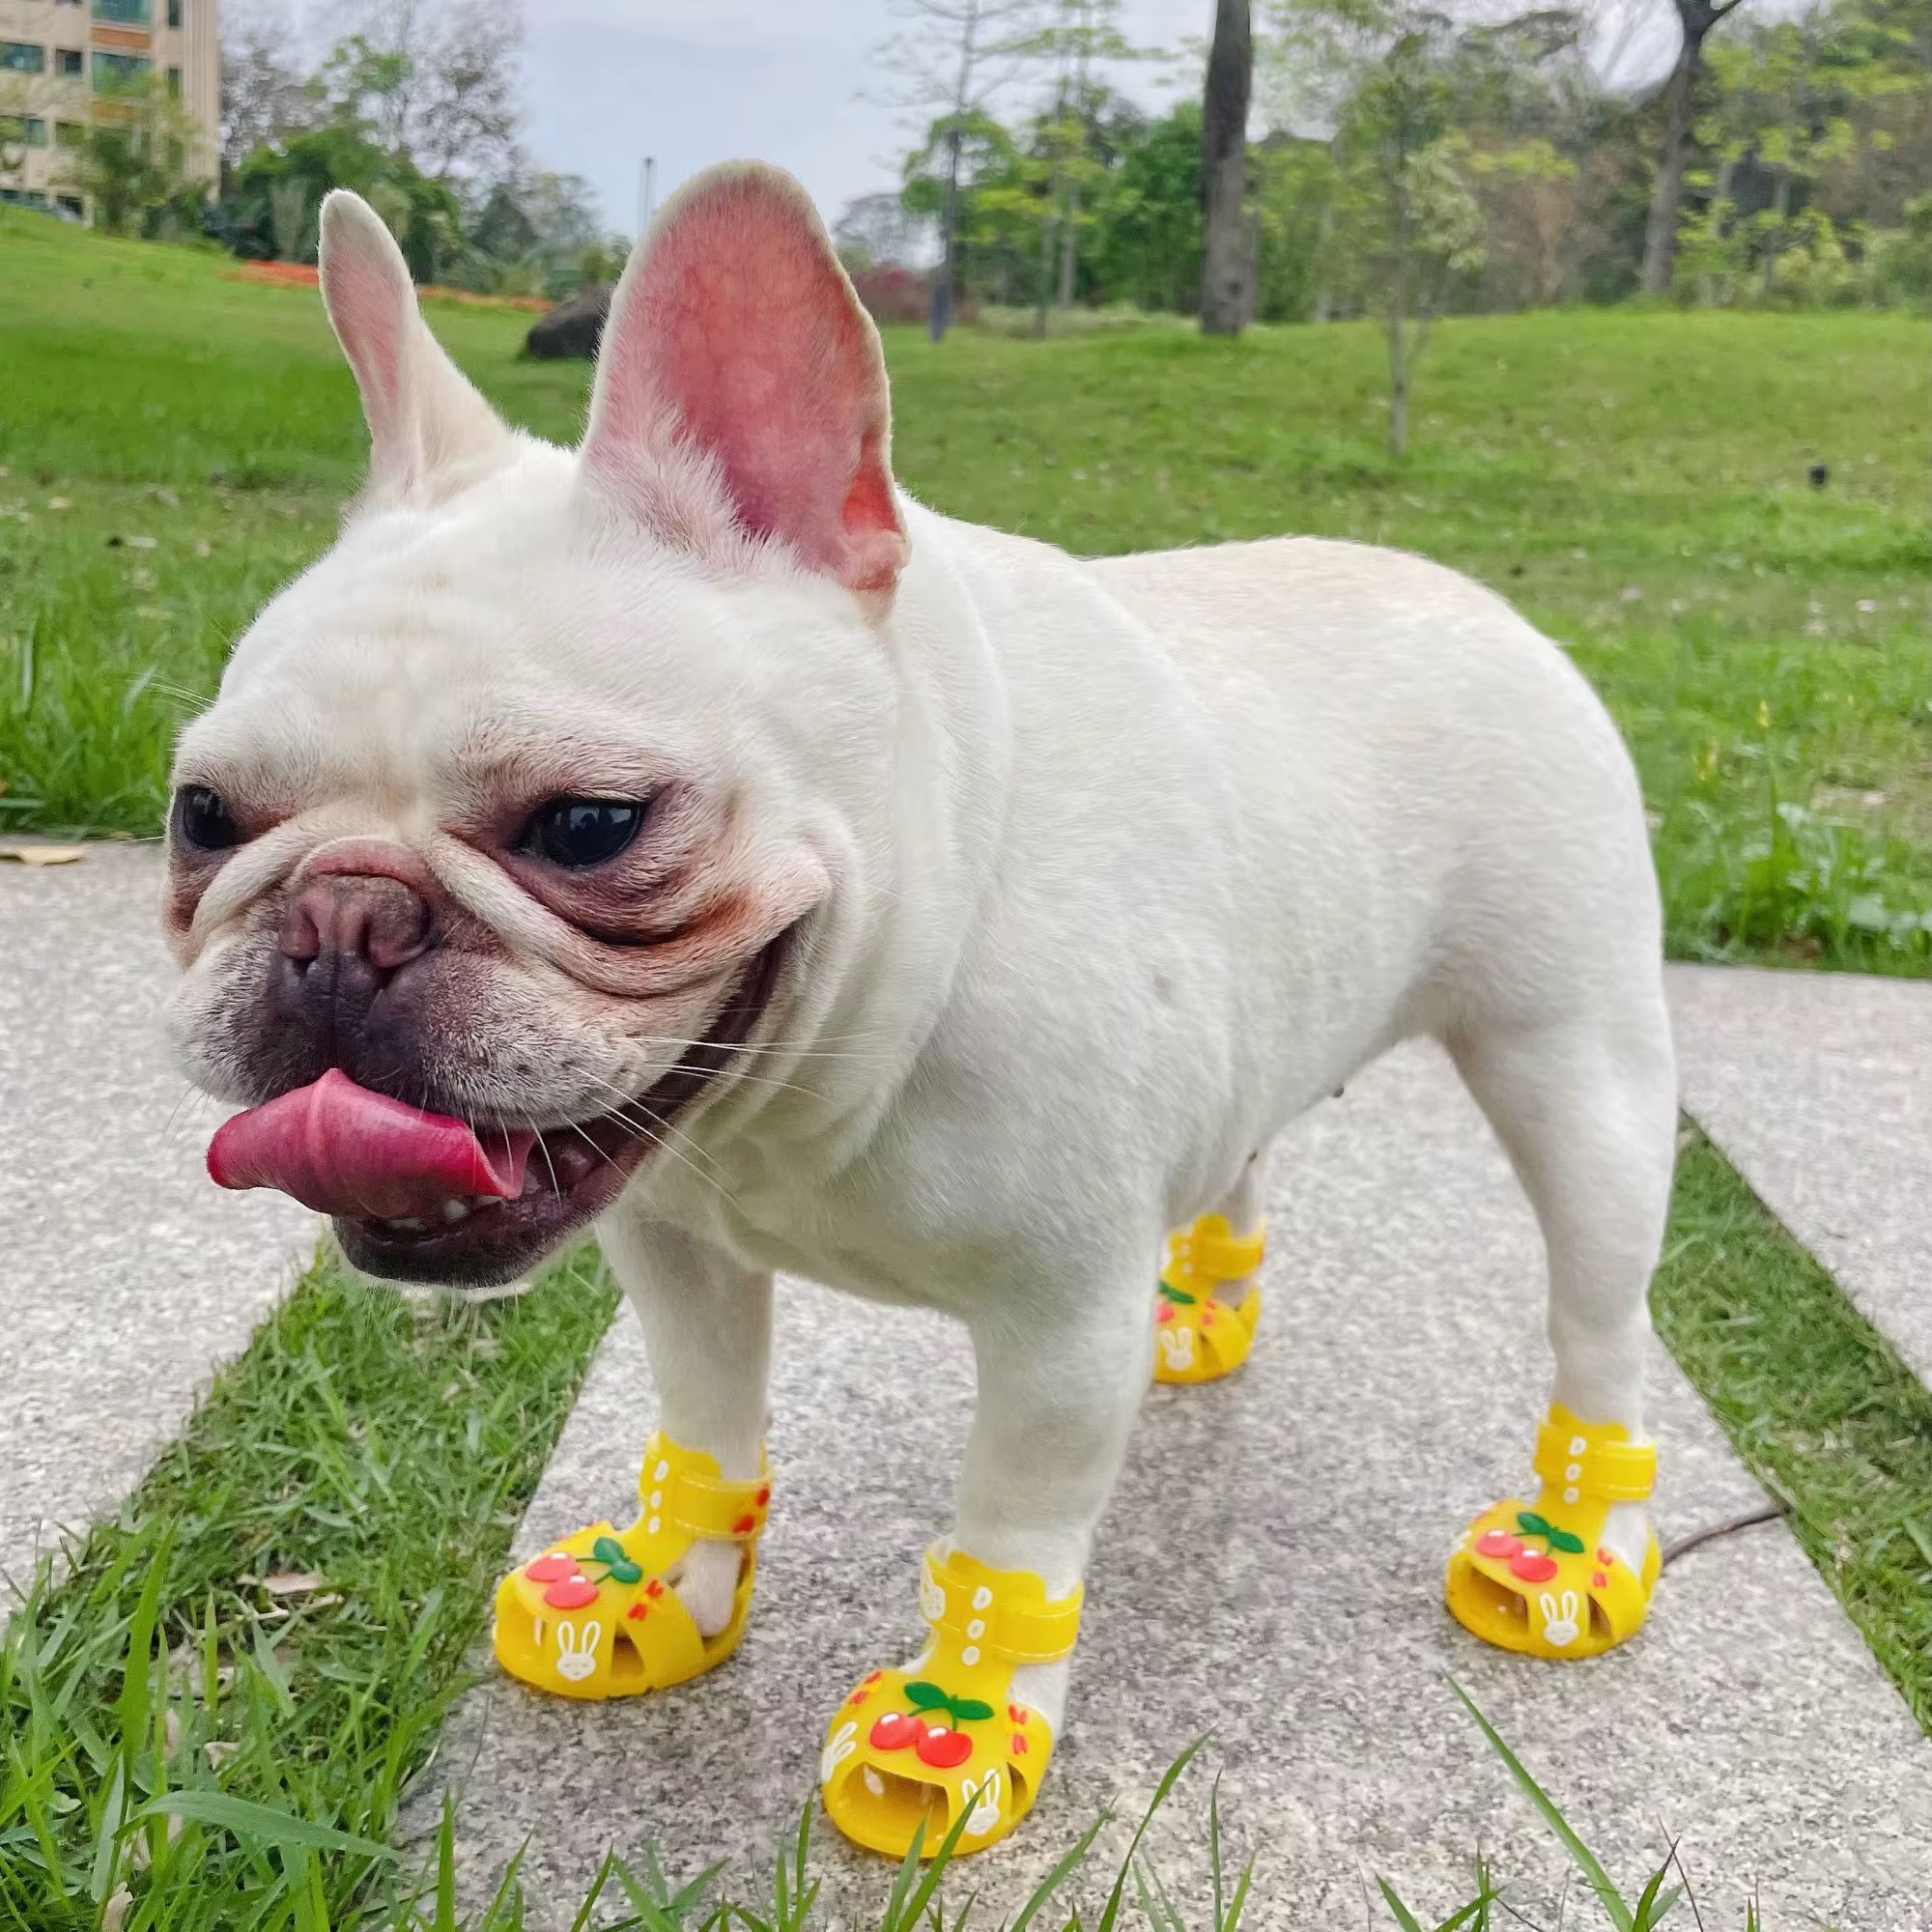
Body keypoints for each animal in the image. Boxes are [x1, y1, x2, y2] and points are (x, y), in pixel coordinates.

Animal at [165, 162, 1676, 1857]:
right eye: (205, 816)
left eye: (590, 826)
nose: (338, 921)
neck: (809, 1074)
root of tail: (1473, 596)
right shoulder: (678, 1247)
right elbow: (708, 1421)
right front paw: (668, 1585)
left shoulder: (1054, 1325)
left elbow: (1014, 1528)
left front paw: (961, 1722)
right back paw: (1201, 1313)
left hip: (1578, 1075)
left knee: (1600, 1319)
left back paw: (1578, 1538)